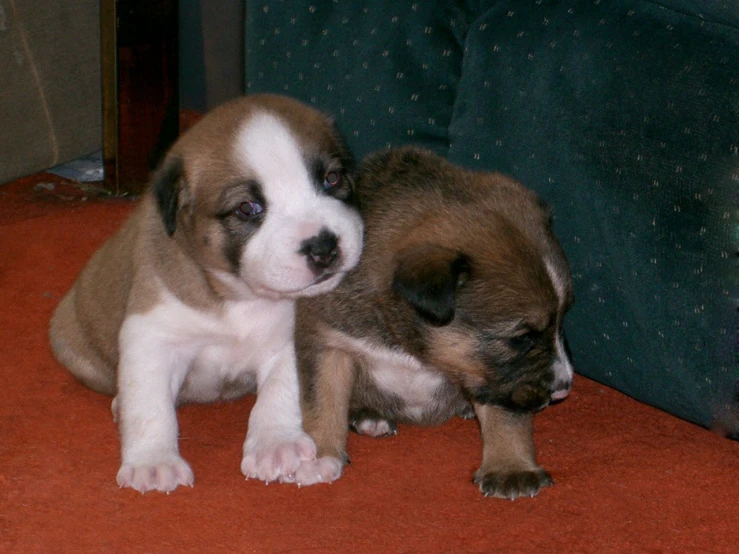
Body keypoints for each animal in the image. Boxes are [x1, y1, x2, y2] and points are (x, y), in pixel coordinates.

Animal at [47, 95, 366, 492]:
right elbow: (150, 404)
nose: (323, 247)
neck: (236, 295)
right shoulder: (151, 338)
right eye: (248, 208)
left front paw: (277, 443)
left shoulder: (292, 340)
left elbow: (282, 391)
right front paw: (153, 460)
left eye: (331, 178)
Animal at [292, 146, 576, 496]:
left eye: (562, 320)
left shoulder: (494, 381)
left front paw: (511, 467)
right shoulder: (326, 344)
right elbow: (322, 404)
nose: (563, 390)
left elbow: (506, 416)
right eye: (521, 338)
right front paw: (317, 457)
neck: (407, 342)